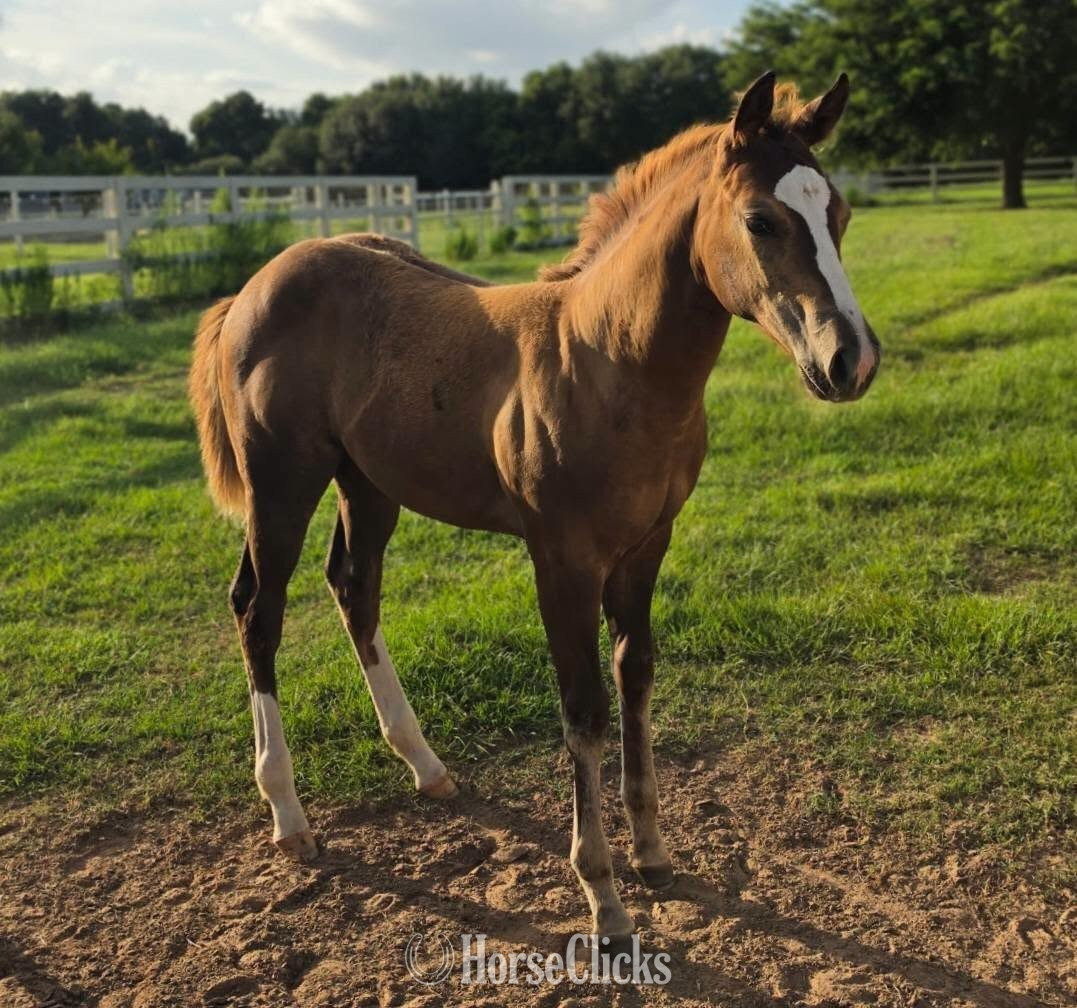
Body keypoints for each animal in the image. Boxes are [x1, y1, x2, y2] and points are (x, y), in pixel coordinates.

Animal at [188, 71, 880, 944]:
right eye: (761, 220)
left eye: (839, 214)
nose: (850, 361)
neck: (611, 361)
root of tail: (255, 284)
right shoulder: (561, 560)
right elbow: (582, 708)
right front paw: (603, 896)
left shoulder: (647, 546)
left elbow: (635, 677)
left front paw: (652, 854)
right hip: (281, 481)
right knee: (258, 609)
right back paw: (288, 813)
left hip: (369, 482)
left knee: (353, 588)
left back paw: (426, 766)